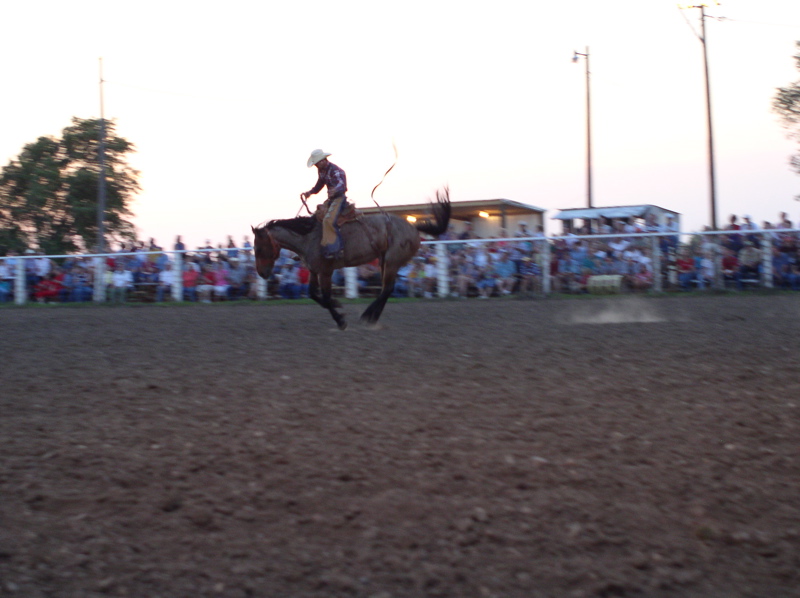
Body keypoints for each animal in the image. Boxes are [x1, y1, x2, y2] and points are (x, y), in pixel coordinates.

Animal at [250, 188, 450, 330]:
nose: (261, 273)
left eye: (259, 248)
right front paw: (338, 305)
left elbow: (325, 296)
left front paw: (340, 320)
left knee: (387, 289)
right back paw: (372, 318)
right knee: (387, 289)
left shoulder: (326, 271)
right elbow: (313, 294)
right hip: (385, 261)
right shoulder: (314, 270)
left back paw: (367, 316)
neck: (308, 237)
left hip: (392, 261)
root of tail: (413, 227)